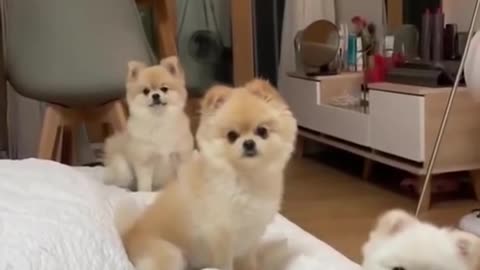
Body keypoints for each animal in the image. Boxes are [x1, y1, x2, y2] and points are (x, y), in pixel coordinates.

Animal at [104, 56, 194, 192]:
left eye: (164, 89)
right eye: (146, 91)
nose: (155, 95)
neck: (159, 120)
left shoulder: (181, 156)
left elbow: (183, 179)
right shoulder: (144, 161)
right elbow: (145, 184)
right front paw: (144, 193)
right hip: (122, 168)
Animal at [115, 78, 296, 270]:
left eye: (262, 131)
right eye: (232, 135)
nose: (248, 143)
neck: (244, 177)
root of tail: (128, 236)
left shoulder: (250, 238)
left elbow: (250, 263)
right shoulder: (222, 236)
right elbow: (225, 264)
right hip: (172, 255)